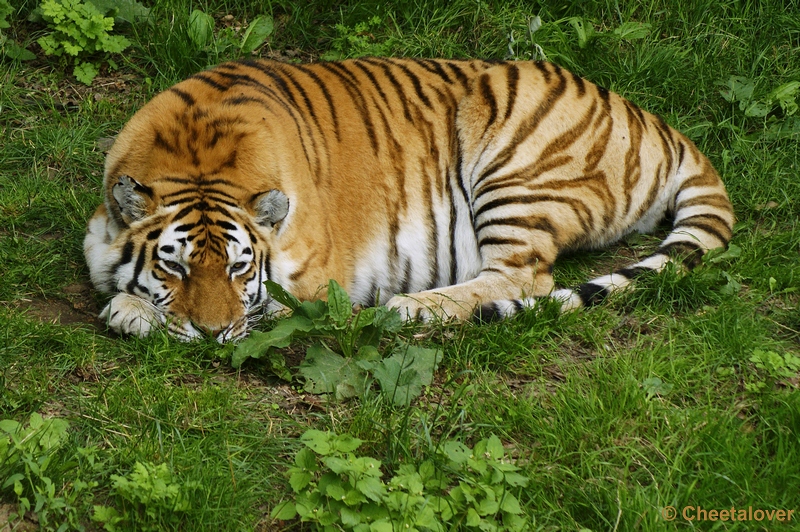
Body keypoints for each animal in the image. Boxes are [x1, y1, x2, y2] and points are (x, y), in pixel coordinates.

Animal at [84, 57, 736, 340]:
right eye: (174, 265)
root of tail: (659, 125)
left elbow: (266, 307)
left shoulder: (317, 285)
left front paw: (131, 311)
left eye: (241, 268)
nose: (213, 335)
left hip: (513, 163)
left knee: (524, 278)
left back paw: (412, 309)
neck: (198, 155)